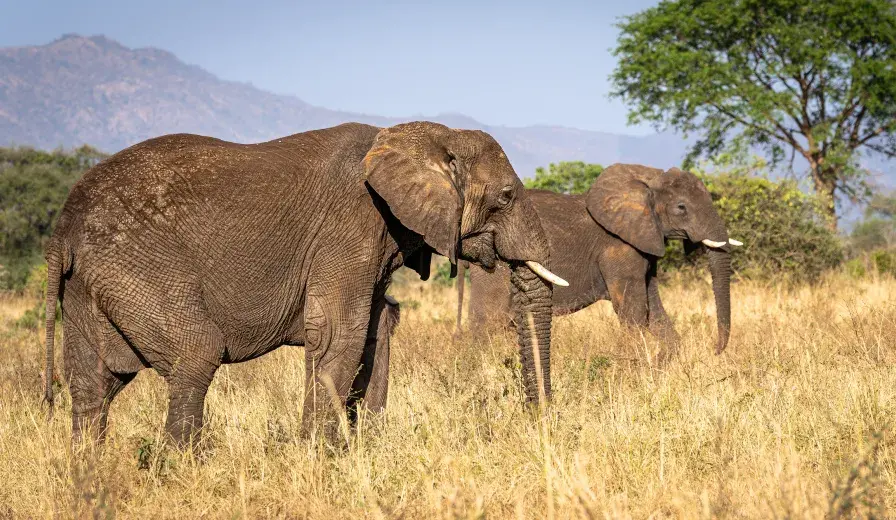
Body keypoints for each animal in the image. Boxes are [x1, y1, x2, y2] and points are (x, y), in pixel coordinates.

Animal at [42, 121, 569, 446]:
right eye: (506, 196)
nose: (540, 423)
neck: (424, 134)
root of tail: (63, 228)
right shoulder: (351, 227)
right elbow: (339, 334)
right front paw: (321, 455)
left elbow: (377, 326)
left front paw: (360, 445)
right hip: (138, 267)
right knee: (195, 354)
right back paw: (179, 470)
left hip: (89, 284)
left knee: (94, 384)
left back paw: (89, 475)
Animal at [456, 163, 739, 356]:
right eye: (681, 208)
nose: (715, 349)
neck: (648, 177)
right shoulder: (619, 248)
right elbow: (634, 313)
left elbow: (654, 311)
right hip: (496, 266)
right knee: (489, 320)